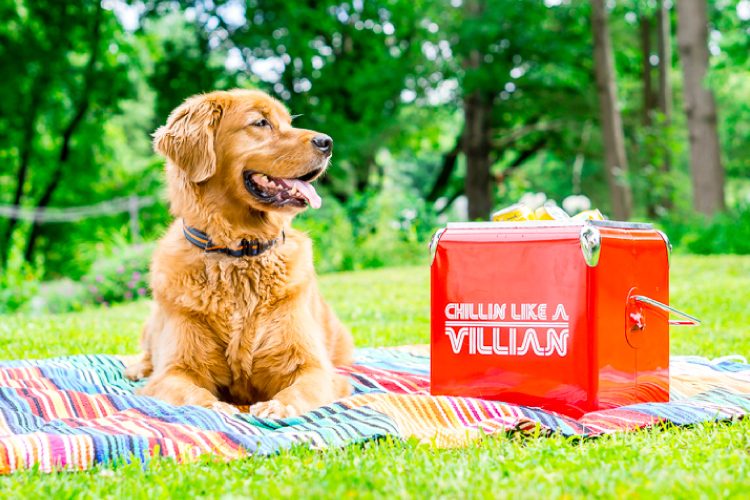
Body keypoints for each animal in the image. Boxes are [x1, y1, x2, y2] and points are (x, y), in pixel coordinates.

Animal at [125, 89, 354, 418]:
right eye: (260, 122)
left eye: (288, 121)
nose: (327, 142)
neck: (239, 251)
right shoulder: (174, 371)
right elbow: (190, 391)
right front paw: (215, 407)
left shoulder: (314, 367)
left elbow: (301, 388)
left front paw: (277, 406)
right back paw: (136, 367)